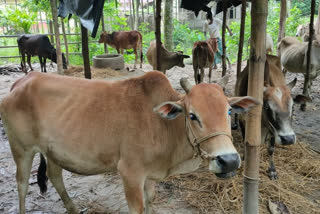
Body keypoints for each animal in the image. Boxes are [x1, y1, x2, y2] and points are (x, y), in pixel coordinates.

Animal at [0, 71, 258, 213]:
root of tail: (23, 80)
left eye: (228, 111)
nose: (228, 160)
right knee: (22, 185)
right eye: (193, 115)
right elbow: (138, 207)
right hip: (21, 149)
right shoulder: (130, 173)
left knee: (55, 176)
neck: (164, 125)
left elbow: (151, 200)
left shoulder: (149, 176)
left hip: (53, 150)